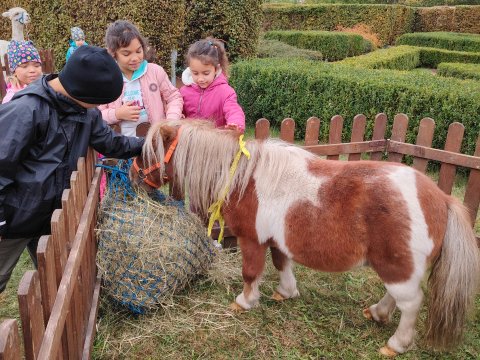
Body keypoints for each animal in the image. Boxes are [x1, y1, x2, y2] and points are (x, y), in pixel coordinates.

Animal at [130, 120, 480, 354]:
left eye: (149, 151)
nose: (133, 176)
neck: (243, 177)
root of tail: (441, 199)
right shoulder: (278, 240)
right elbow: (282, 264)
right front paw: (285, 292)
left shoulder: (252, 240)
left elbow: (251, 272)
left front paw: (245, 302)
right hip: (398, 268)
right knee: (397, 297)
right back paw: (378, 313)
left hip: (398, 268)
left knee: (410, 303)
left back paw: (396, 343)